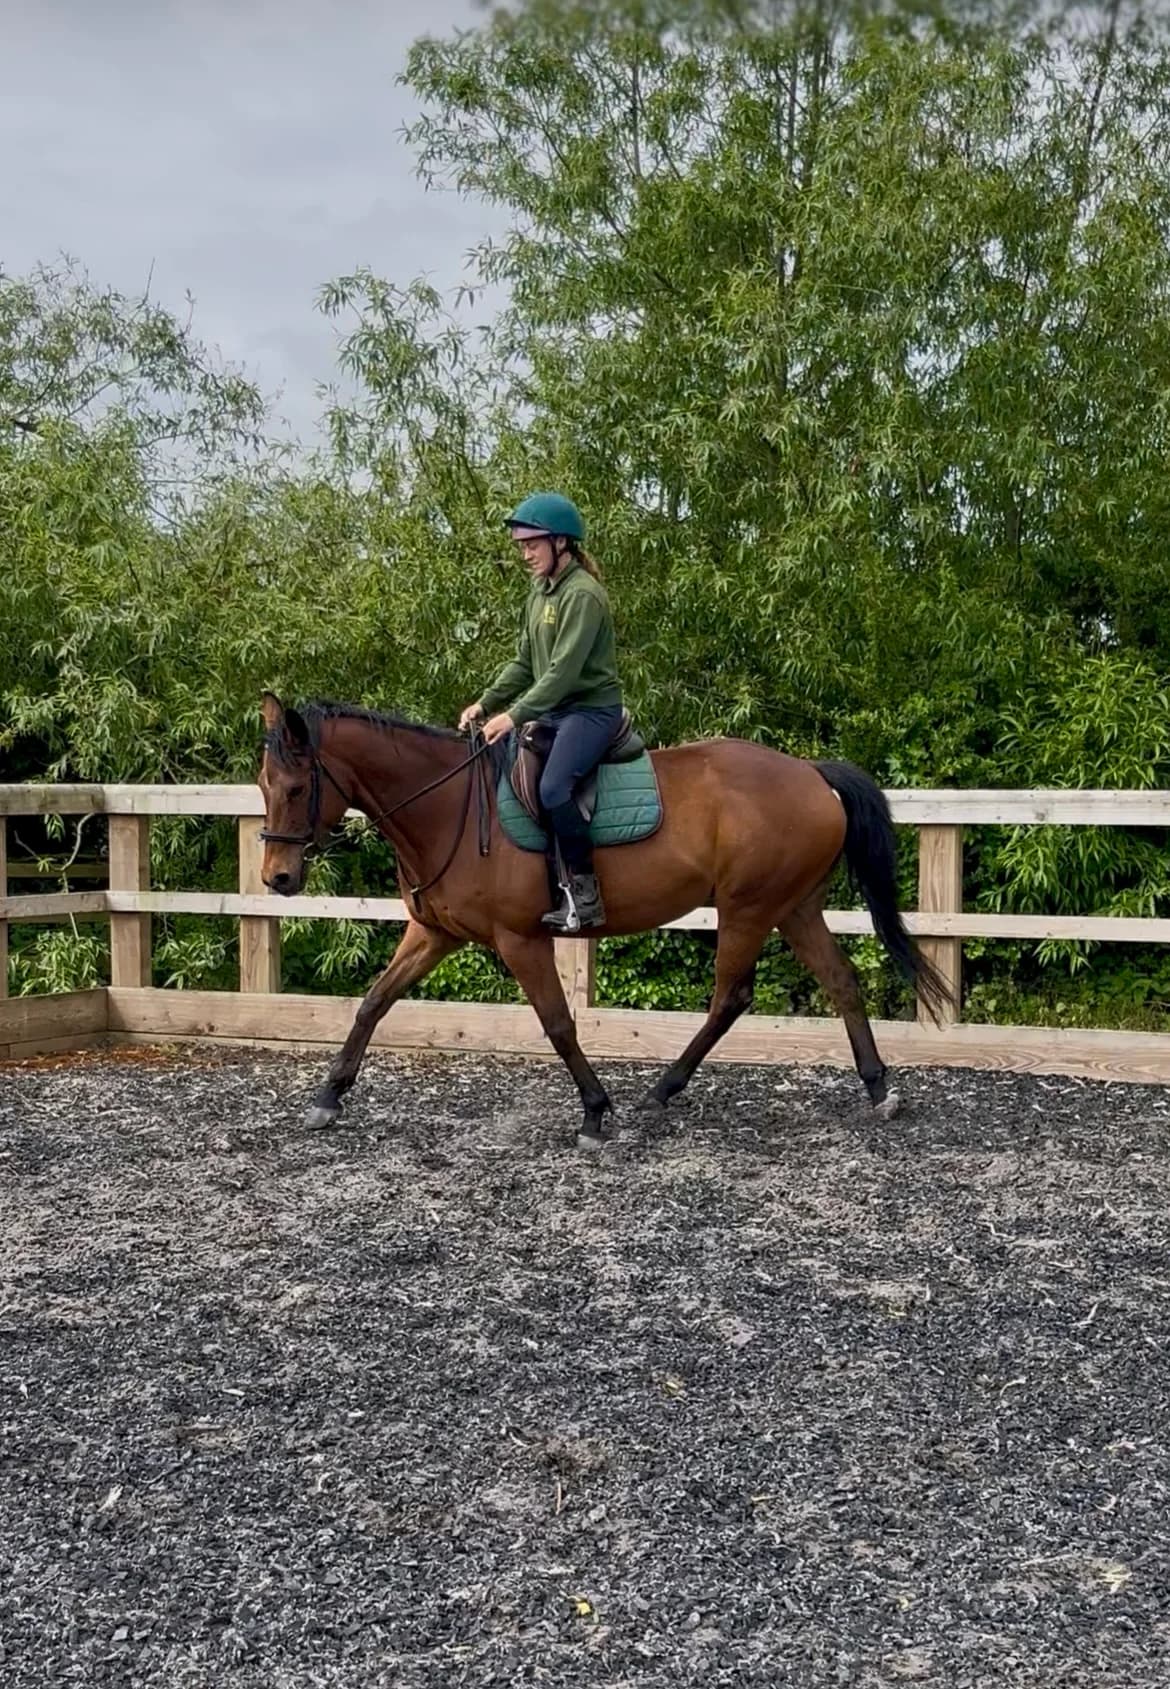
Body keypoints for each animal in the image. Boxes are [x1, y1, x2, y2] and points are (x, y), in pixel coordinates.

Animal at [256, 693, 949, 1146]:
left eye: (296, 788)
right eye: (264, 787)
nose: (277, 880)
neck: (448, 805)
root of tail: (810, 773)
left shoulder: (521, 940)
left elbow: (559, 1024)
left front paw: (593, 1110)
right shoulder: (434, 933)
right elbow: (373, 1002)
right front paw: (328, 1097)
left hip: (748, 908)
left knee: (731, 996)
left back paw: (664, 1088)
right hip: (793, 906)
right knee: (840, 981)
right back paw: (878, 1088)